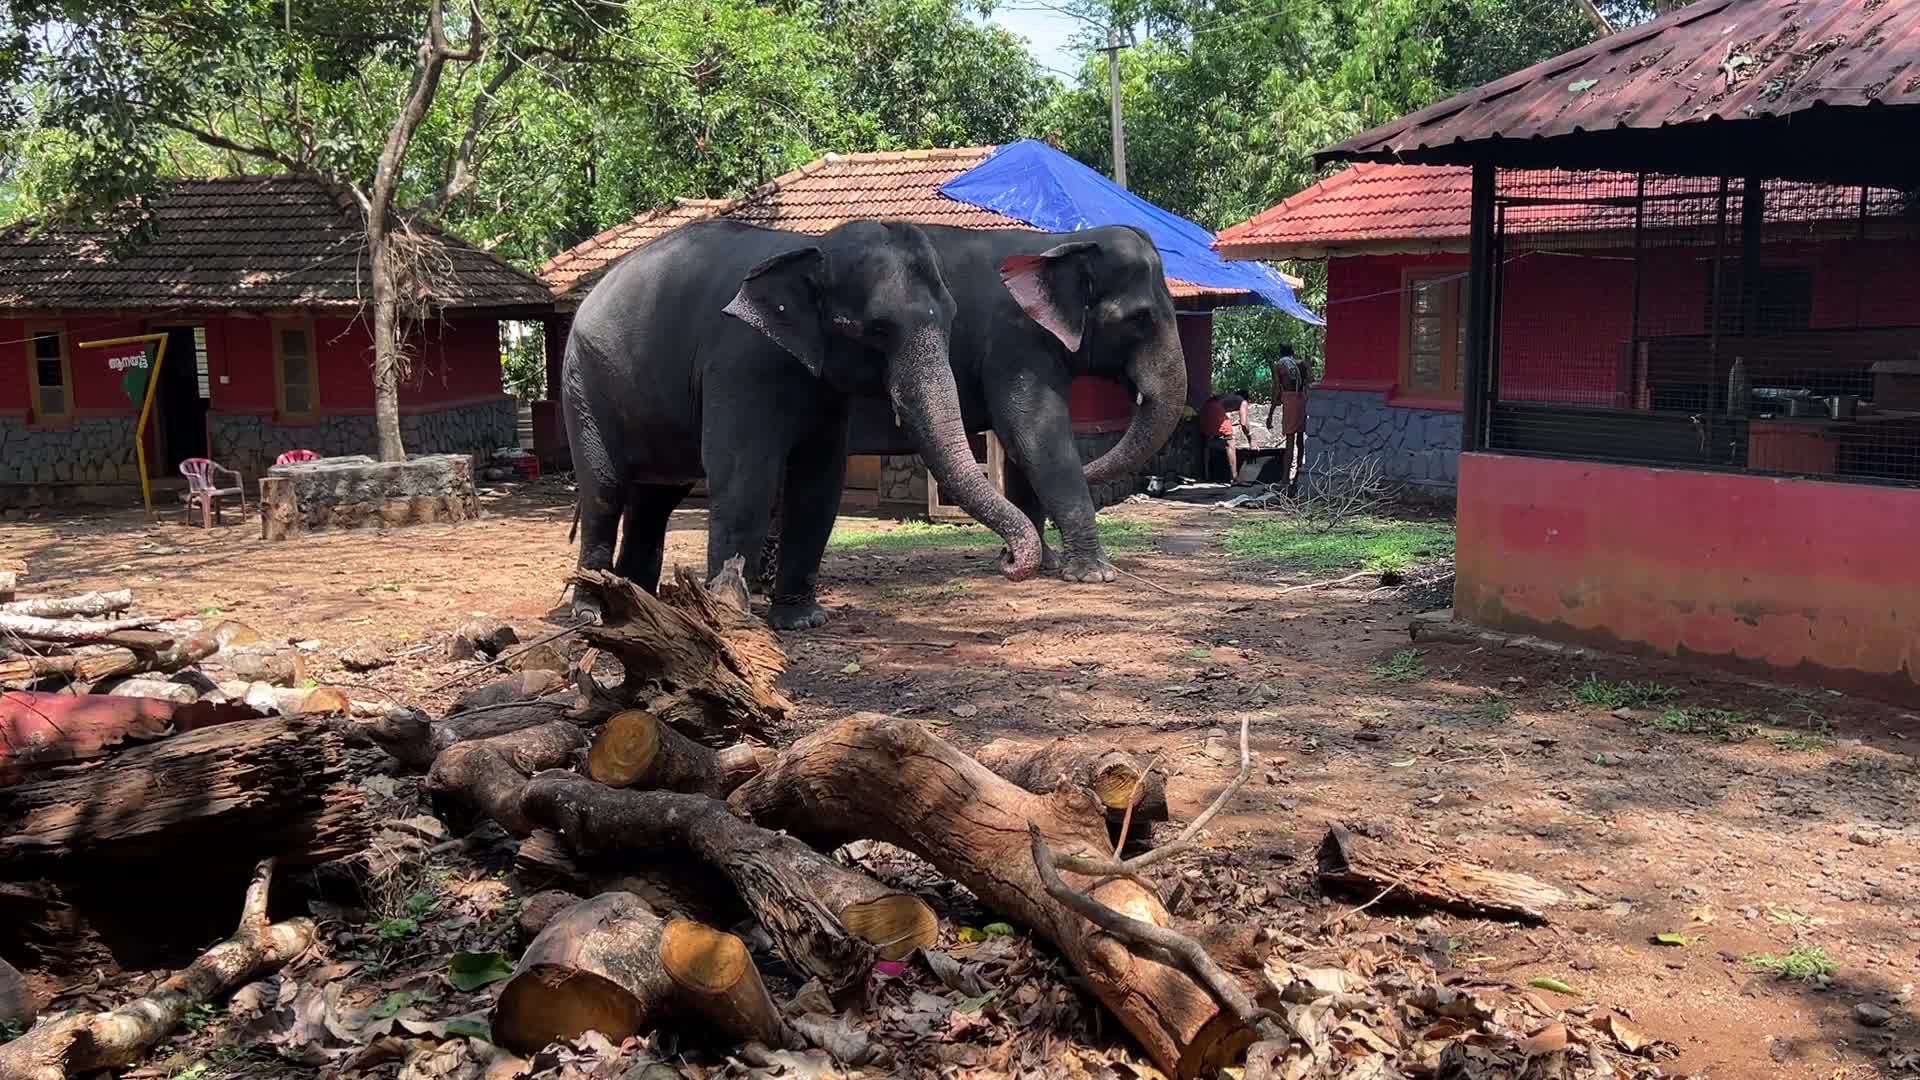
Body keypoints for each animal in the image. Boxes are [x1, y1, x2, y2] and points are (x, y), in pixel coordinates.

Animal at [562, 219, 1044, 628]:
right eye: (877, 330)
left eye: (951, 320)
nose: (1007, 559)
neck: (812, 249)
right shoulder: (739, 361)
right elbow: (745, 478)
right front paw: (729, 619)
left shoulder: (825, 389)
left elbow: (819, 482)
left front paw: (802, 620)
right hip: (583, 386)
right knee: (605, 489)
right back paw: (592, 613)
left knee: (655, 498)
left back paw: (639, 604)